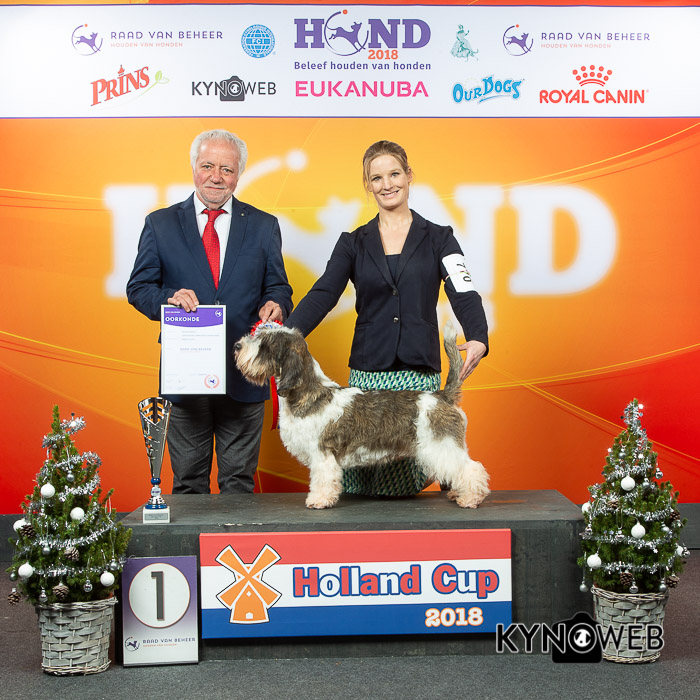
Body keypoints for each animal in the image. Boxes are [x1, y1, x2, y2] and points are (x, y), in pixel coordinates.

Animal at [234, 323, 489, 510]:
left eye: (264, 344)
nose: (236, 345)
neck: (309, 393)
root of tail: (442, 396)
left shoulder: (322, 454)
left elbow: (322, 479)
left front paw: (319, 500)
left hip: (442, 445)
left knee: (471, 468)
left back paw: (470, 498)